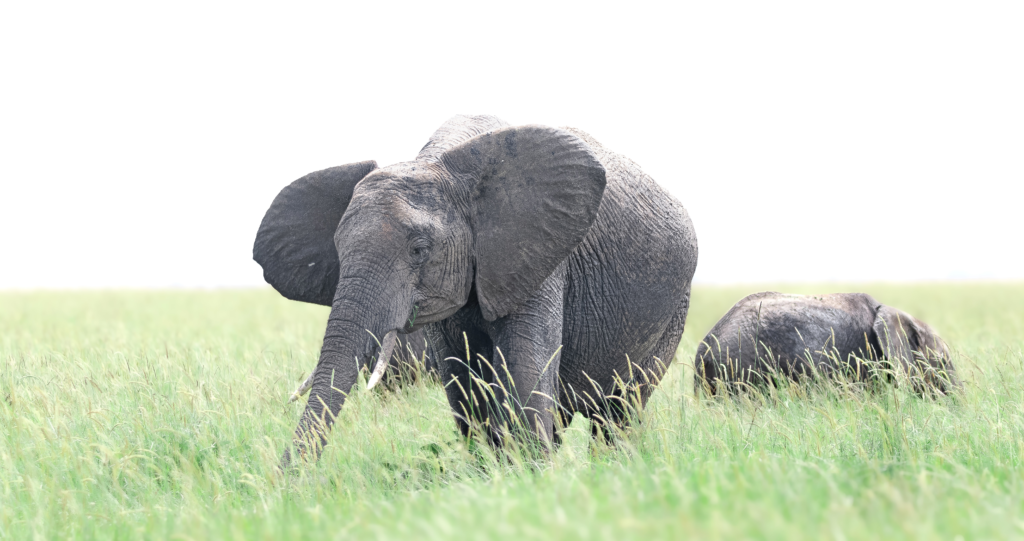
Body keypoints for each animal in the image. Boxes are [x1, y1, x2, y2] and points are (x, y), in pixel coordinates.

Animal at [254, 114, 698, 465]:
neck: (441, 165)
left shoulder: (538, 254)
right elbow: (463, 379)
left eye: (419, 250)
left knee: (620, 409)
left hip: (674, 311)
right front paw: (493, 473)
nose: (284, 484)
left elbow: (524, 368)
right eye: (338, 251)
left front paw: (533, 479)